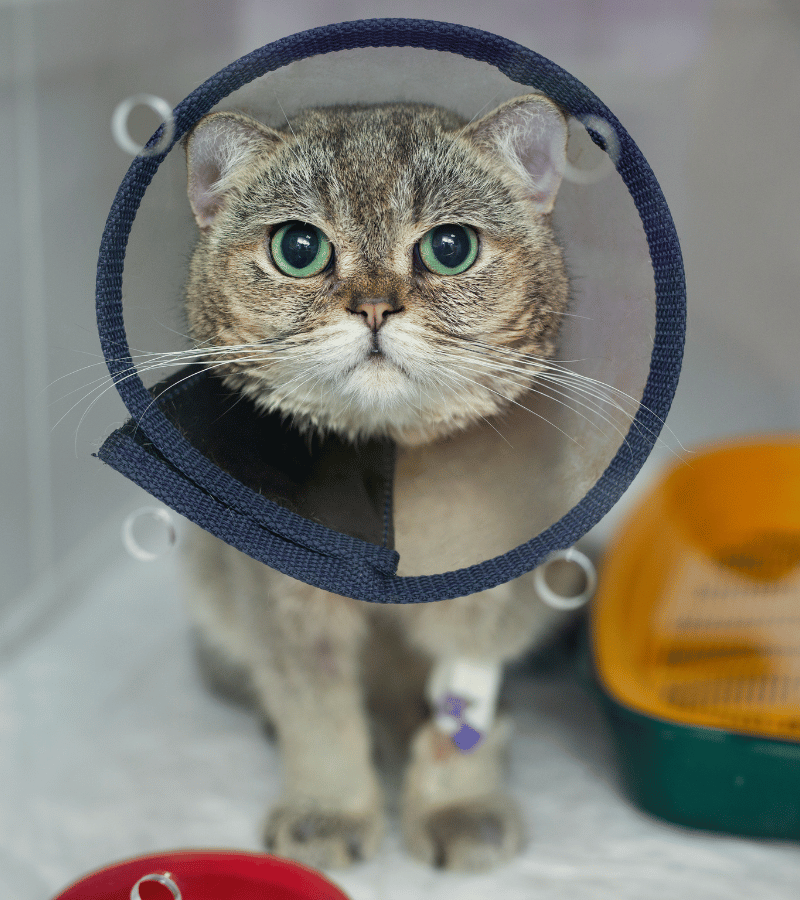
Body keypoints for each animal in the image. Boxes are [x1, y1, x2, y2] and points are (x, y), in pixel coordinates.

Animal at [180, 93, 572, 872]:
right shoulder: (286, 608)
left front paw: (457, 808)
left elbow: (460, 713)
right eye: (299, 249)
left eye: (450, 248)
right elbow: (318, 715)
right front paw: (328, 813)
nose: (373, 308)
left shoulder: (487, 596)